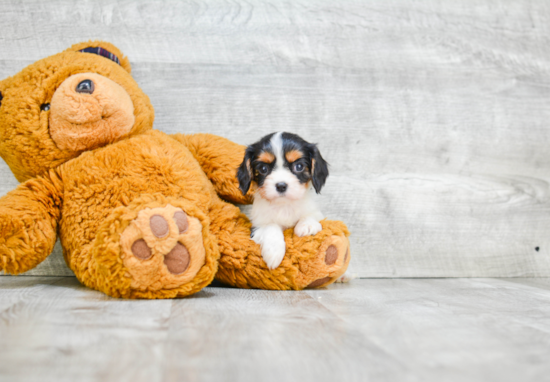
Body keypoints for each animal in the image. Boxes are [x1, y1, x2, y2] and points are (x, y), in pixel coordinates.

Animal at [239, 133, 330, 270]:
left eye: (299, 166)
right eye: (263, 169)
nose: (281, 185)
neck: (284, 205)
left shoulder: (316, 213)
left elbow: (310, 215)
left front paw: (307, 225)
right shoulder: (258, 225)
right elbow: (271, 227)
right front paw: (274, 251)